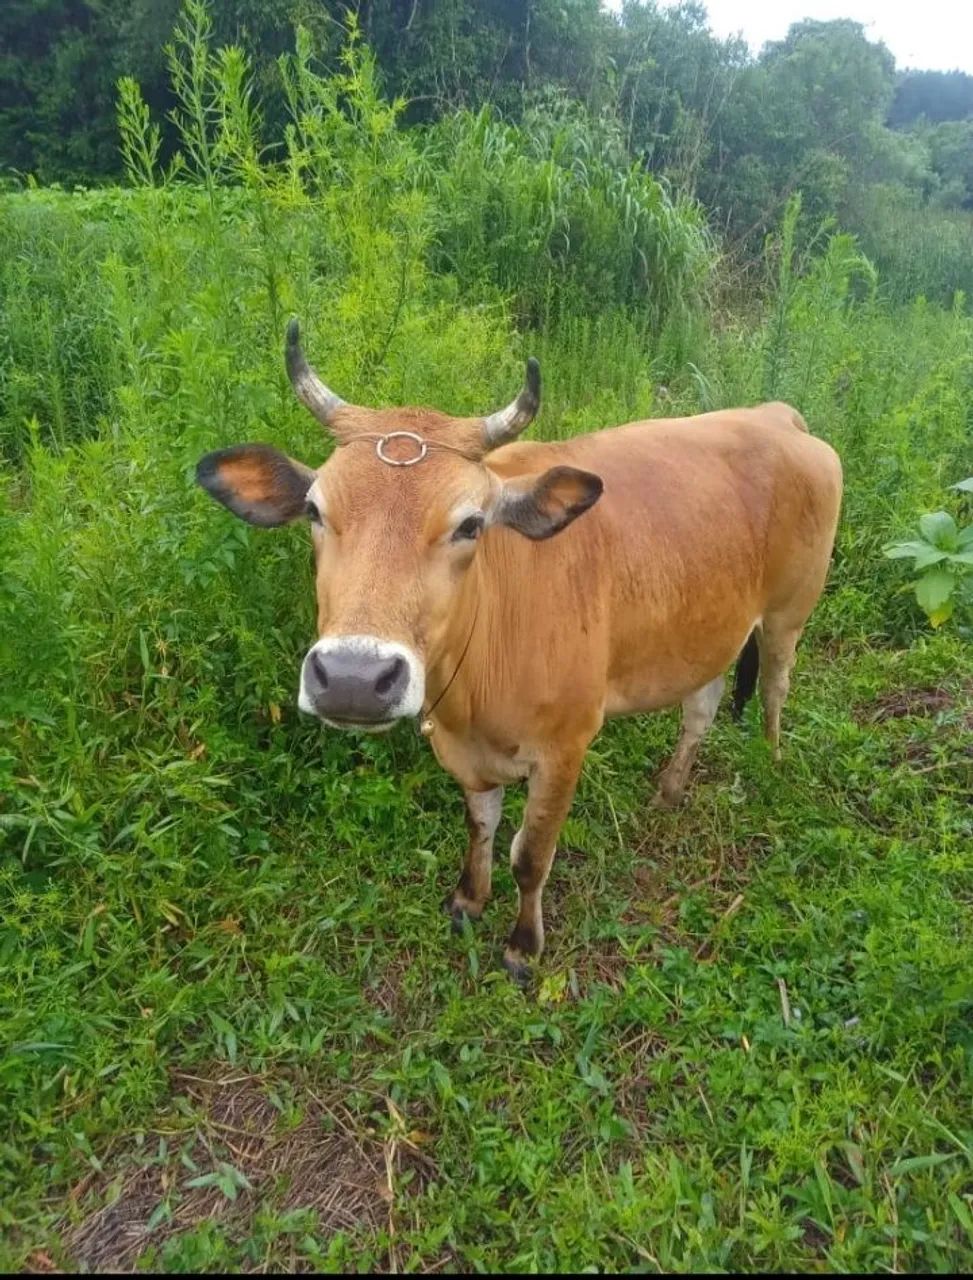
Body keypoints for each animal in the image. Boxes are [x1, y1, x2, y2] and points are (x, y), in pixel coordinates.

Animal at [196, 321, 843, 983]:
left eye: (470, 524)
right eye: (314, 510)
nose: (353, 677)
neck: (473, 692)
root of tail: (777, 415)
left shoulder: (566, 747)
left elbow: (531, 855)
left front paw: (523, 946)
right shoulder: (466, 754)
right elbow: (481, 827)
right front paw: (468, 900)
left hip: (790, 613)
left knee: (775, 687)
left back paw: (770, 763)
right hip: (708, 629)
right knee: (702, 706)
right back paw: (669, 790)